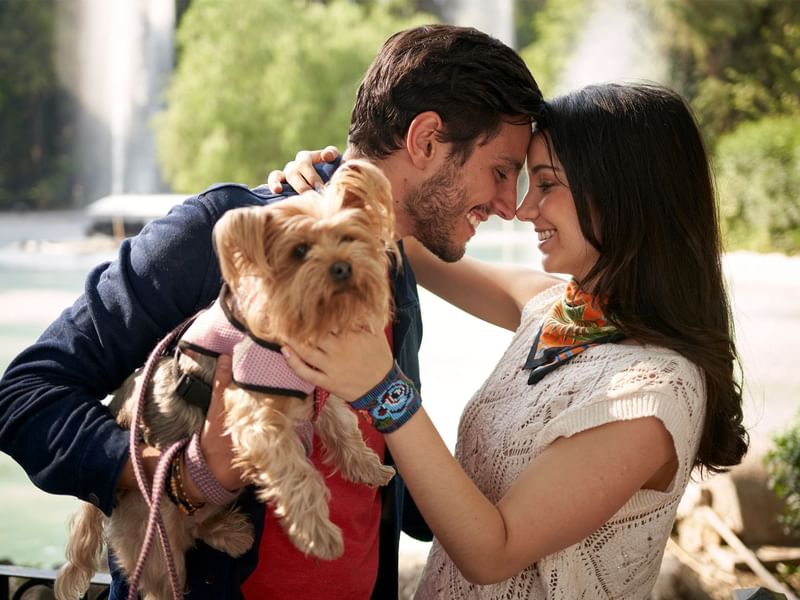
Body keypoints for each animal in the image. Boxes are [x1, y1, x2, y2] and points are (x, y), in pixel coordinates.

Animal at [54, 161, 398, 600]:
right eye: (299, 251)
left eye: (349, 237)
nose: (342, 266)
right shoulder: (255, 418)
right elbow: (299, 473)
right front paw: (319, 535)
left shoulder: (317, 392)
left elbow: (344, 429)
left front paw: (372, 470)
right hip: (154, 539)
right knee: (163, 577)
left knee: (200, 525)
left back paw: (232, 533)